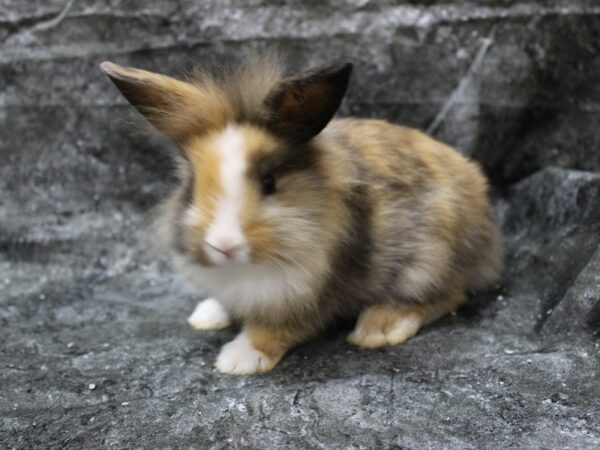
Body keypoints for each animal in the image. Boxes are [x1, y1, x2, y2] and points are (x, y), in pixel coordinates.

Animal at [100, 54, 503, 375]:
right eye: (192, 185)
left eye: (269, 181)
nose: (223, 245)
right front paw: (208, 315)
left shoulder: (313, 293)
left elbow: (279, 328)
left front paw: (238, 359)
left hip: (430, 258)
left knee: (450, 294)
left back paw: (378, 328)